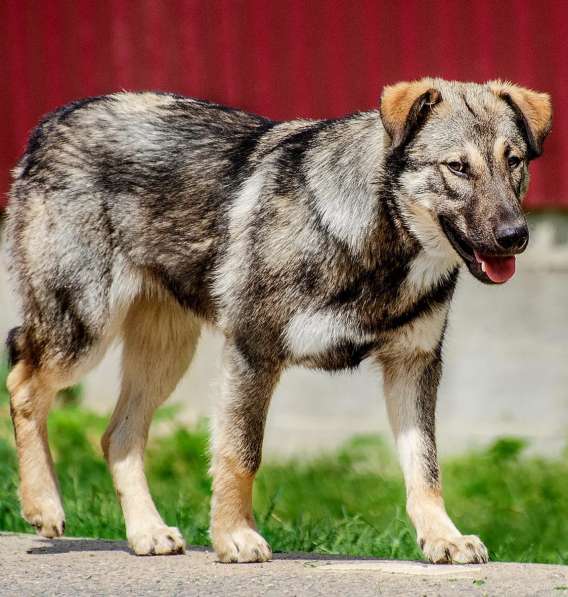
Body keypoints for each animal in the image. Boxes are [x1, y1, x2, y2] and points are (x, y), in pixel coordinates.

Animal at [3, 79, 552, 564]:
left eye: (514, 161)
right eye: (457, 167)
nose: (516, 236)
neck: (374, 237)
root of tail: (52, 122)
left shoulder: (413, 365)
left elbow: (425, 466)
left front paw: (444, 538)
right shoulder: (252, 353)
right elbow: (241, 454)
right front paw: (234, 537)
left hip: (165, 354)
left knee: (117, 435)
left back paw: (147, 532)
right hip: (83, 331)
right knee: (23, 381)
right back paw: (42, 503)